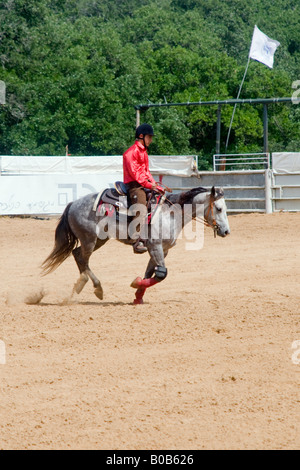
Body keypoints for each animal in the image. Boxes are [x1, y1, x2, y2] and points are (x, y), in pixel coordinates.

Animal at [41, 185, 230, 302]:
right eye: (219, 208)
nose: (227, 231)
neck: (170, 213)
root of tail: (73, 204)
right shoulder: (155, 246)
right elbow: (161, 274)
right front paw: (136, 285)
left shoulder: (162, 250)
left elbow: (151, 273)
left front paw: (138, 294)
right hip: (89, 239)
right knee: (82, 258)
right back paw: (96, 287)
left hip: (99, 240)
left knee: (77, 255)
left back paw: (83, 284)